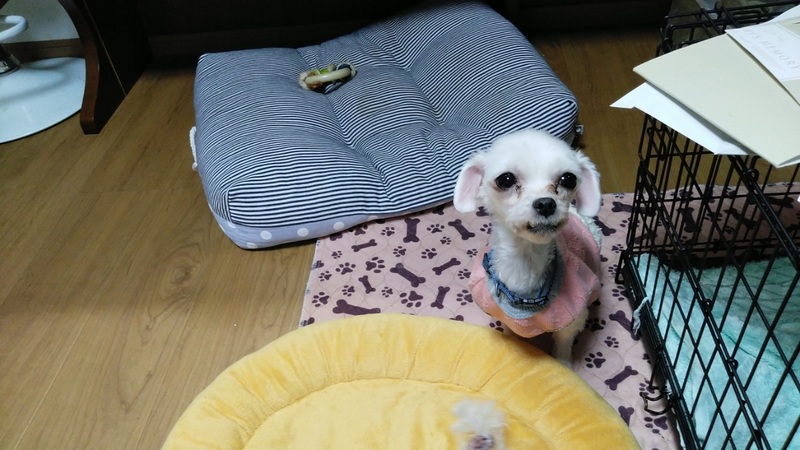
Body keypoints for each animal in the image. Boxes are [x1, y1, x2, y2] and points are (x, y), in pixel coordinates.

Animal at [453, 129, 603, 366]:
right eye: (506, 179)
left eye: (568, 179)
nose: (546, 203)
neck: (526, 260)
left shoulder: (573, 317)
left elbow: (564, 342)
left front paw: (563, 364)